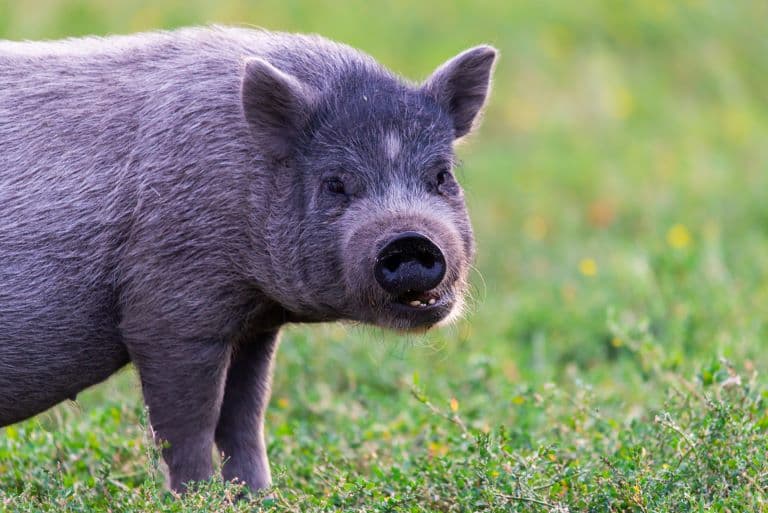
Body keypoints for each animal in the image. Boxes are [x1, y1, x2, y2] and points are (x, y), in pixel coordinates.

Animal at [0, 26, 497, 492]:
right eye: (335, 183)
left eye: (442, 176)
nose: (411, 240)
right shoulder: (169, 315)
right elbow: (188, 428)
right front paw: (197, 497)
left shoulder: (254, 327)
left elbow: (244, 420)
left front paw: (259, 497)